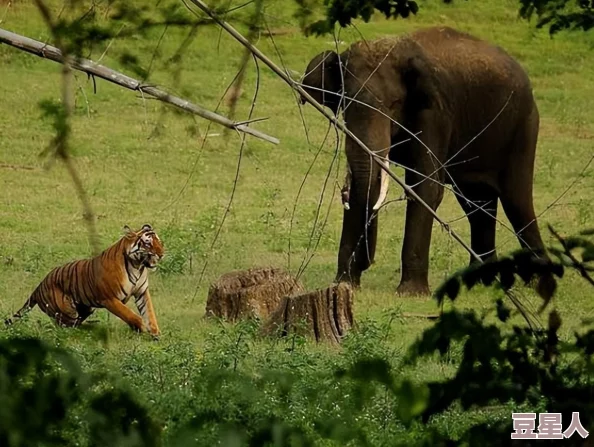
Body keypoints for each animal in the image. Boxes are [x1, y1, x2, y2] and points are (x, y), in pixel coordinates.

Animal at [5, 226, 165, 338]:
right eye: (147, 244)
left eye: (159, 242)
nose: (162, 254)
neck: (137, 266)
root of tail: (39, 286)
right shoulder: (110, 299)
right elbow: (129, 314)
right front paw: (141, 327)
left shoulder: (142, 292)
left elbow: (149, 313)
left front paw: (155, 332)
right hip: (68, 312)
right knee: (63, 326)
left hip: (86, 308)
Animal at [298, 26, 548, 296]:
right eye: (345, 102)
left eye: (394, 104)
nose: (366, 261)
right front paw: (344, 283)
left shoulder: (436, 114)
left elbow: (424, 187)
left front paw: (410, 293)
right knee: (477, 203)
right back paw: (482, 280)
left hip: (523, 127)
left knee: (517, 201)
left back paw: (539, 281)